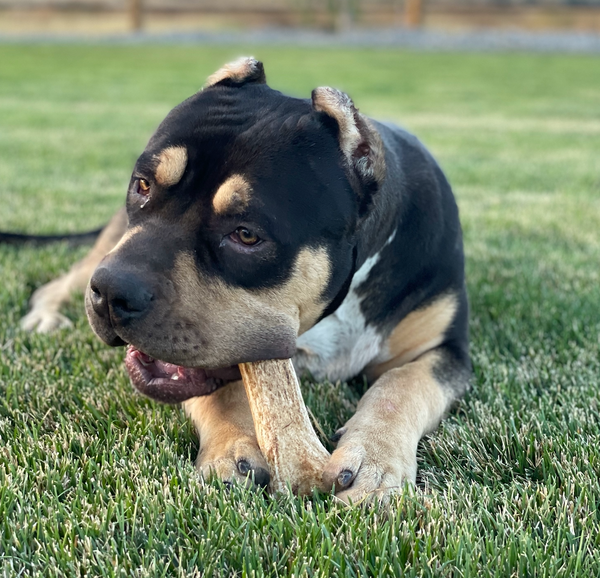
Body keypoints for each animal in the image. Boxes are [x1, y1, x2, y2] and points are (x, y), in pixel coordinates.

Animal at [16, 56, 472, 502]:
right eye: (143, 185)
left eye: (246, 235)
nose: (111, 292)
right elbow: (223, 388)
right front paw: (233, 448)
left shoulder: (445, 350)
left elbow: (402, 385)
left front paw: (375, 462)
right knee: (60, 282)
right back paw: (45, 316)